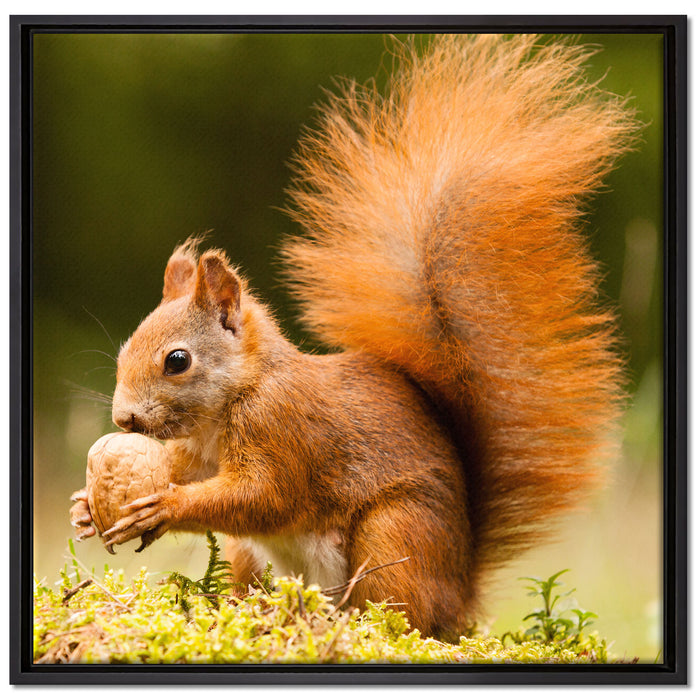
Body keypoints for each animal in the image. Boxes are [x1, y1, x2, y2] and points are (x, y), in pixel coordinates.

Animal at [70, 34, 638, 641]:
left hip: (395, 534)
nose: (123, 418)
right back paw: (258, 612)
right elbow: (192, 475)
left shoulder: (284, 428)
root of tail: (461, 594)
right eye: (125, 350)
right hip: (255, 557)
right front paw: (86, 506)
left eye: (177, 360)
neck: (232, 401)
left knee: (397, 610)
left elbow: (264, 496)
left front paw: (165, 507)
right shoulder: (199, 455)